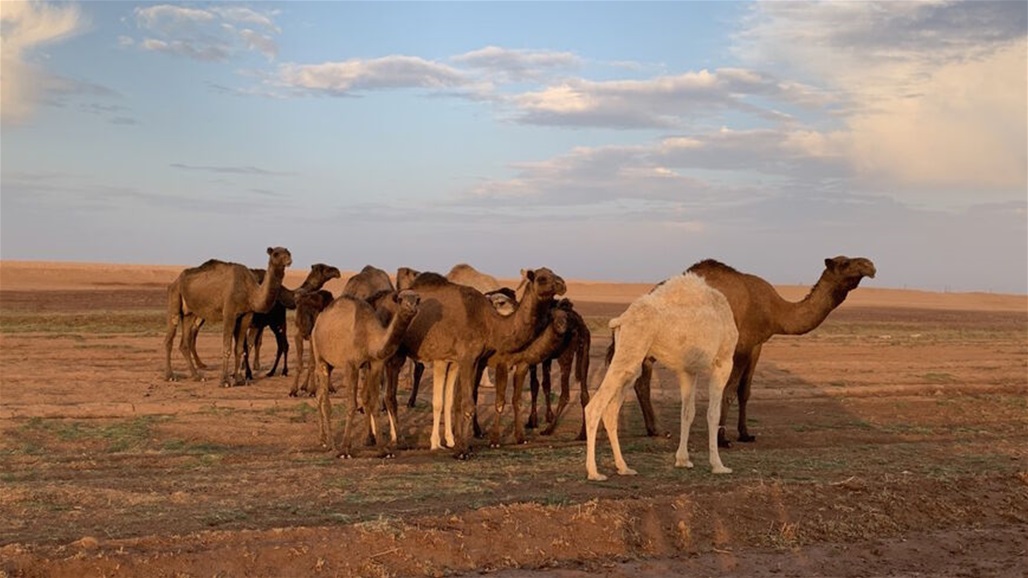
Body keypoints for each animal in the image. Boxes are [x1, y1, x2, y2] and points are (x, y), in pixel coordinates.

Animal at [163, 244, 294, 384]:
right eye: (275, 254)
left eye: (288, 253)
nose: (288, 259)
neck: (250, 291)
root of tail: (175, 281)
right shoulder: (229, 313)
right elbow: (227, 347)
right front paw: (225, 381)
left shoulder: (246, 315)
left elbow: (240, 348)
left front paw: (239, 379)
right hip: (174, 297)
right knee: (169, 338)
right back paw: (170, 376)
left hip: (190, 312)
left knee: (184, 343)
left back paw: (197, 376)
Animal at [306, 290, 419, 456]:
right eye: (400, 299)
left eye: (417, 299)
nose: (411, 306)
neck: (369, 336)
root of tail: (317, 324)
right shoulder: (351, 365)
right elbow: (352, 404)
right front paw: (345, 449)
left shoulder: (375, 364)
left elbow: (374, 403)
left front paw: (383, 449)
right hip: (320, 356)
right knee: (325, 399)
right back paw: (332, 445)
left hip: (330, 364)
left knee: (320, 394)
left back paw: (323, 440)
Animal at [386, 267, 567, 458]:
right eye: (542, 278)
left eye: (553, 273)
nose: (562, 284)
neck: (490, 322)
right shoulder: (467, 356)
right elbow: (467, 403)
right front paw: (463, 451)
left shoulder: (470, 360)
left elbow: (457, 400)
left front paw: (457, 444)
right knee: (389, 395)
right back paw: (396, 442)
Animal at [583, 271, 736, 479]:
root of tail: (622, 318)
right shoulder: (723, 362)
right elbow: (713, 414)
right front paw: (719, 465)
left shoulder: (688, 370)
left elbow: (687, 412)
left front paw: (683, 460)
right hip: (631, 349)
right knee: (595, 407)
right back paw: (594, 472)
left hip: (629, 356)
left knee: (611, 410)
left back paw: (624, 467)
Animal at [625, 253, 875, 446]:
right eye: (845, 263)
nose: (870, 265)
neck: (775, 310)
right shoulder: (741, 344)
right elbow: (728, 391)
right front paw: (722, 439)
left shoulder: (756, 345)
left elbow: (744, 391)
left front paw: (745, 434)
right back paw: (657, 429)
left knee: (642, 379)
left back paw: (655, 430)